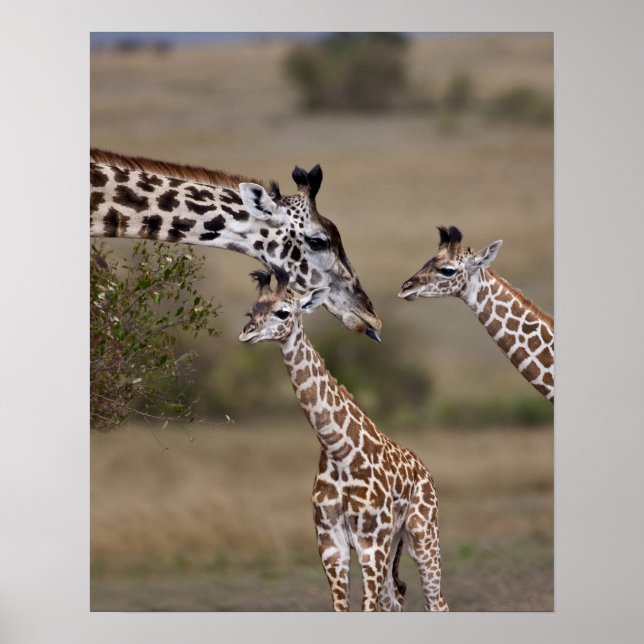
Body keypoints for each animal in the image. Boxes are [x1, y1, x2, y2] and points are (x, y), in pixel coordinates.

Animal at [239, 267, 448, 612]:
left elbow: (368, 608)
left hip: (422, 532)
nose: (246, 334)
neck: (339, 451)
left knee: (437, 601)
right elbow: (342, 607)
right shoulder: (330, 543)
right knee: (396, 599)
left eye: (283, 312)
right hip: (395, 541)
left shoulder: (371, 544)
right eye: (251, 311)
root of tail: (425, 469)